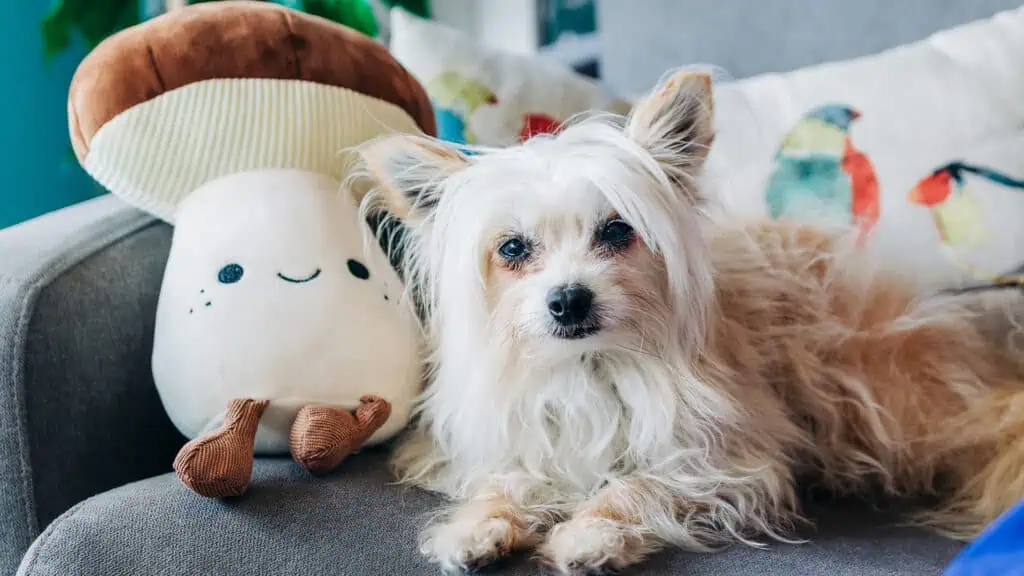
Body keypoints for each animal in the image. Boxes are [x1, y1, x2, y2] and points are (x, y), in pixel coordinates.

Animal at [350, 69, 1024, 569]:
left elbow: (637, 486)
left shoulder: (727, 460)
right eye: (513, 248)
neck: (591, 367)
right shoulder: (499, 443)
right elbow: (505, 479)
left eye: (617, 230)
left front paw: (591, 534)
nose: (569, 300)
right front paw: (477, 527)